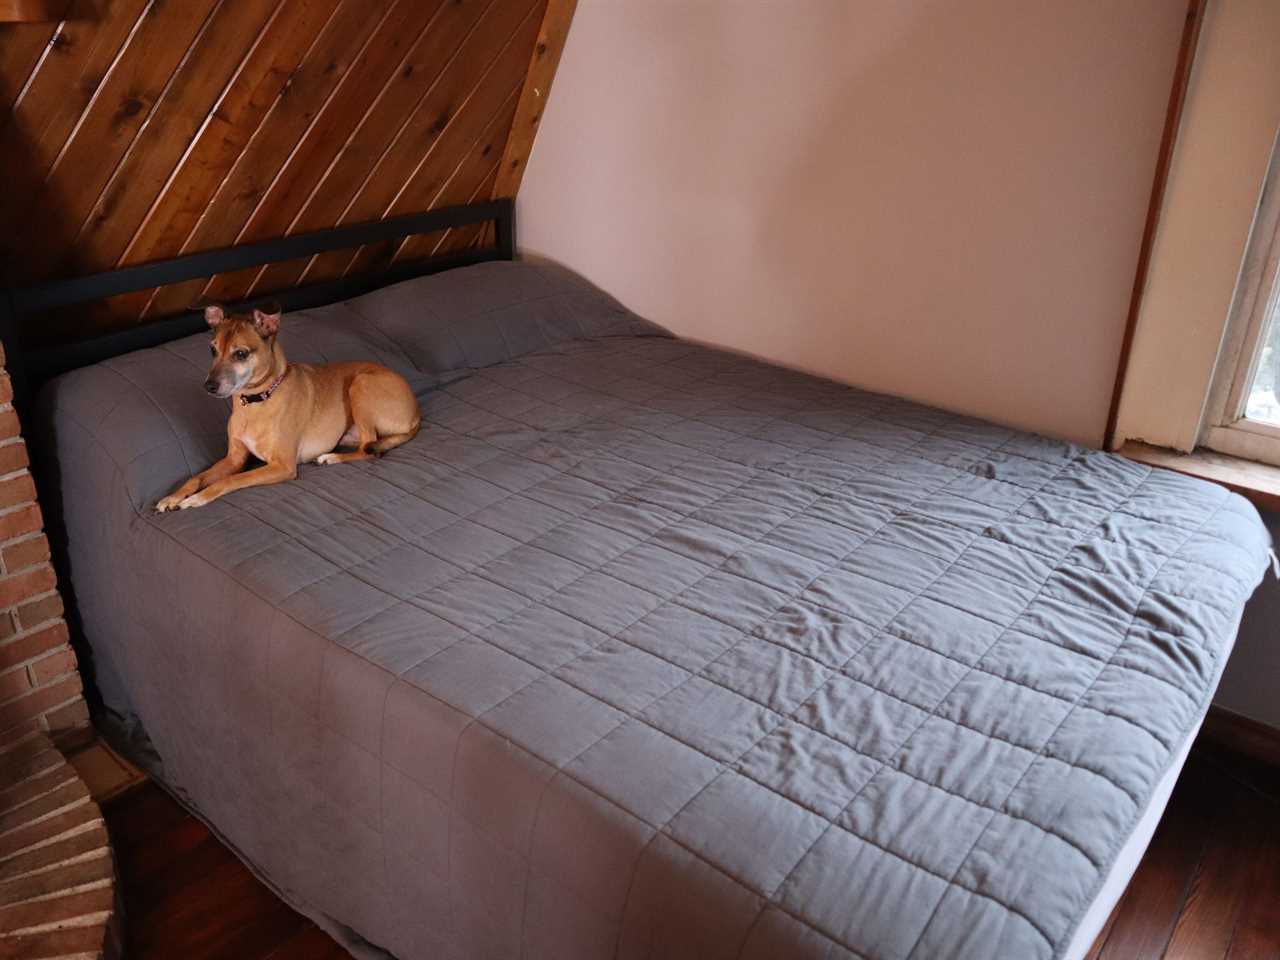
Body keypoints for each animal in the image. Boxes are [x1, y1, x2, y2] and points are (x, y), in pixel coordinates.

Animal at [156, 304, 419, 514]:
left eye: (241, 353)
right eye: (212, 350)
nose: (208, 386)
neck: (257, 401)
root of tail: (416, 413)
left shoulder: (281, 466)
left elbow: (229, 481)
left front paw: (197, 499)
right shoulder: (234, 458)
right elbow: (197, 477)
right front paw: (173, 496)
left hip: (360, 384)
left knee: (369, 449)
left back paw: (330, 457)